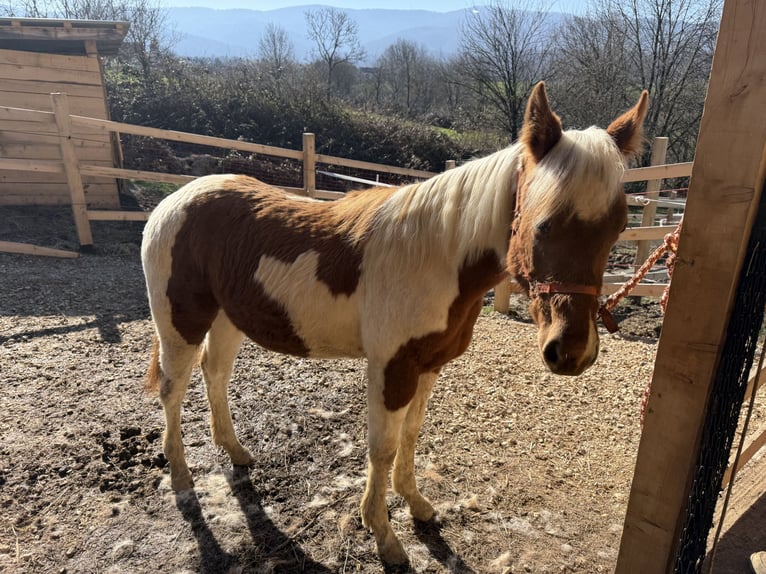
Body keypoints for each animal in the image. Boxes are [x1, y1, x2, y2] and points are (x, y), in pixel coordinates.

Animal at [142, 81, 648, 568]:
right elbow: (382, 446)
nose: (572, 351)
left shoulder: (428, 365)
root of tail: (174, 201)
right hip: (181, 323)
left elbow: (411, 433)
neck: (437, 255)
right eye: (543, 225)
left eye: (619, 228)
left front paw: (417, 504)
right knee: (174, 387)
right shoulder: (392, 367)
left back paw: (236, 452)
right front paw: (383, 534)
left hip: (227, 319)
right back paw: (182, 477)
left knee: (215, 375)